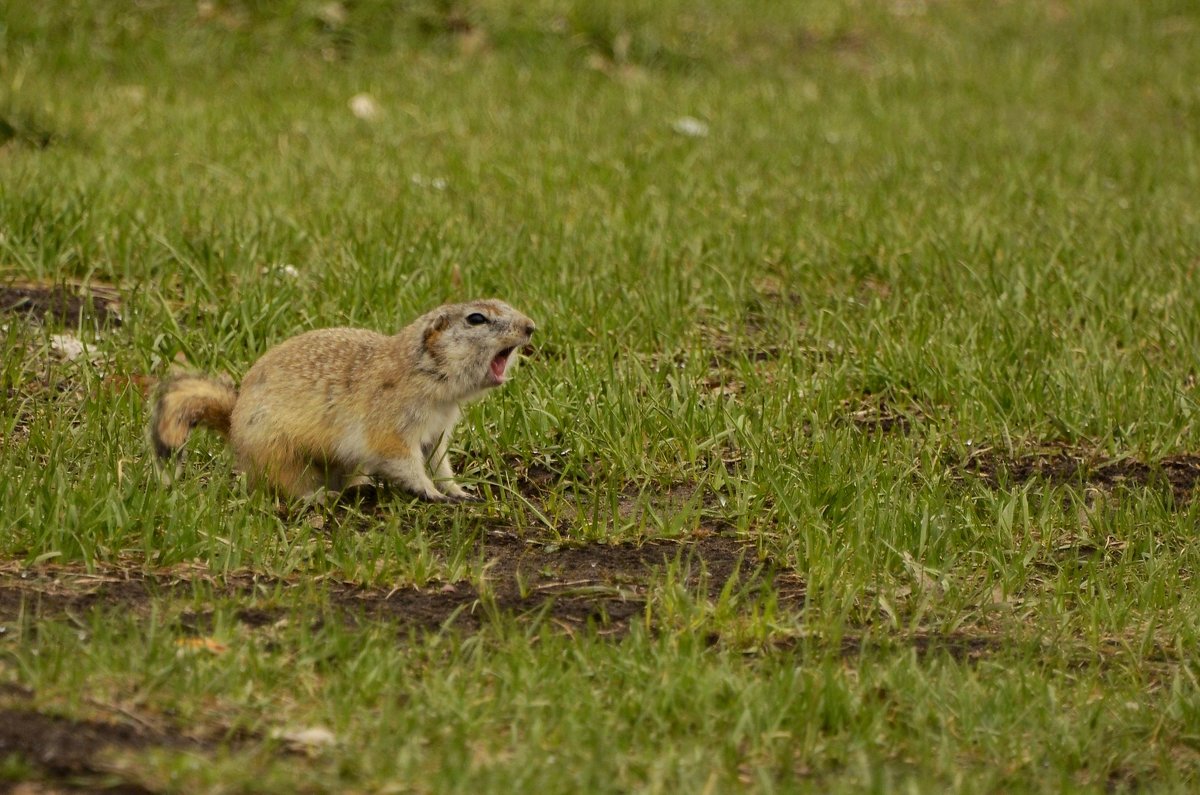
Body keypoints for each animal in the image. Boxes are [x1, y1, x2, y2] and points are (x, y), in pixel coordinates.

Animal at [148, 302, 535, 501]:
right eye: (476, 318)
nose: (531, 326)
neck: (424, 374)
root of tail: (233, 421)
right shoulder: (392, 423)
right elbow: (402, 458)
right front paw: (430, 492)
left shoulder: (436, 432)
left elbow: (439, 463)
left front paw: (459, 491)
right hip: (281, 455)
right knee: (287, 485)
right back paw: (321, 498)